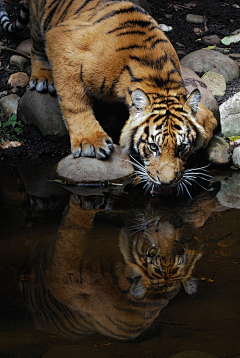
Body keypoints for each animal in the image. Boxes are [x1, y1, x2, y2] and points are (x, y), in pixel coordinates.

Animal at [0, 0, 218, 193]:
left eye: (182, 148)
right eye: (153, 147)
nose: (167, 183)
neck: (159, 80)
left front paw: (207, 125)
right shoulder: (61, 40)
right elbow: (73, 101)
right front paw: (90, 141)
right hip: (40, 25)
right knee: (35, 48)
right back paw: (42, 77)